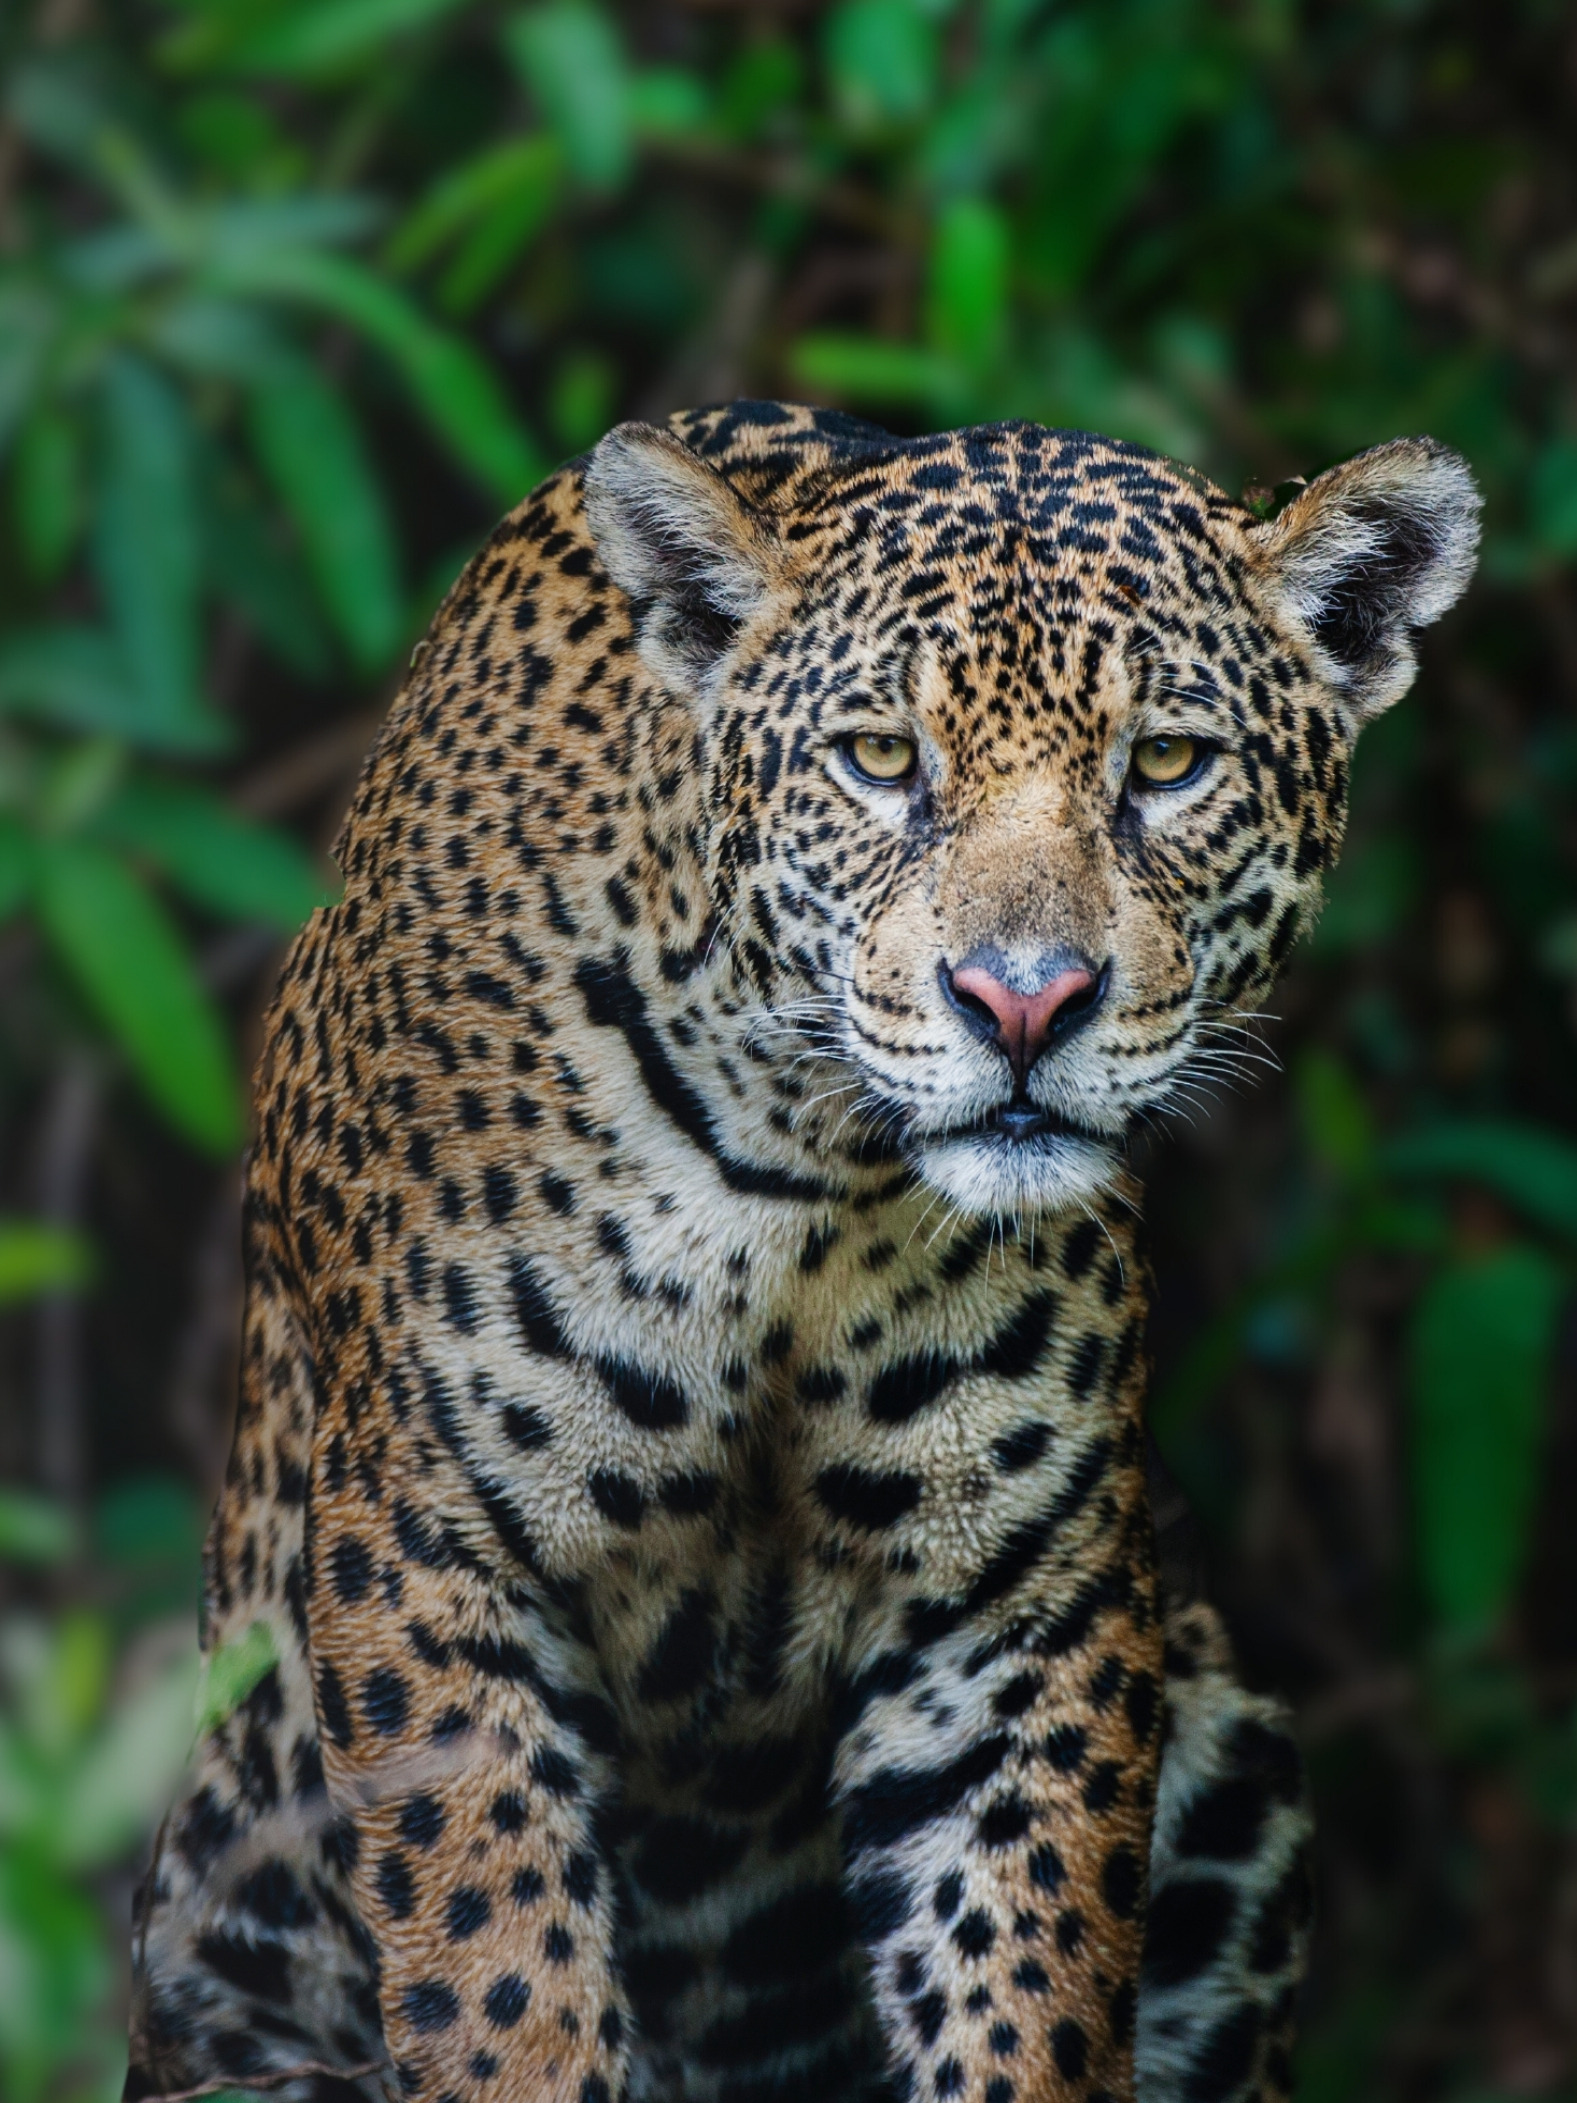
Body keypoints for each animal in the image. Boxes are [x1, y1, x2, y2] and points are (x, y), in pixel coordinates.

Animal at [126, 400, 1479, 2103]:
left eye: (1166, 763)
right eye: (880, 759)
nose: (1023, 1000)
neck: (811, 1182)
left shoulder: (1011, 1614)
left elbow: (1027, 1984)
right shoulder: (430, 1557)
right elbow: (502, 1967)